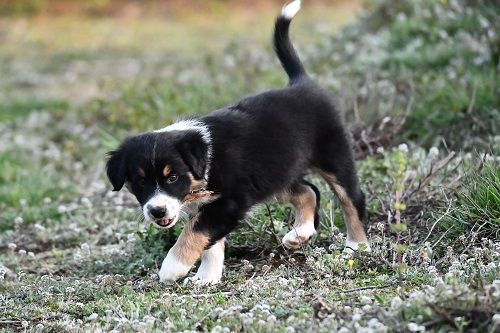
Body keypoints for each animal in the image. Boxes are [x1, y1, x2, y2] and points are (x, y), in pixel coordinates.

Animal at [107, 0, 370, 284]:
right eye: (140, 181)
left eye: (173, 177)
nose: (157, 211)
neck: (205, 160)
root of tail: (301, 82)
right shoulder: (216, 204)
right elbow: (210, 243)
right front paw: (207, 279)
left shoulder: (229, 201)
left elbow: (195, 230)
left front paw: (173, 267)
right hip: (274, 174)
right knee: (309, 190)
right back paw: (299, 234)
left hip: (333, 156)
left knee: (351, 198)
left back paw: (357, 245)